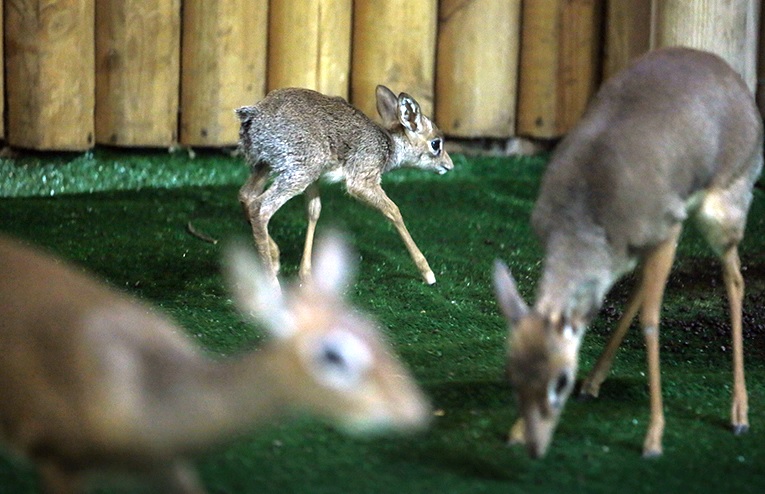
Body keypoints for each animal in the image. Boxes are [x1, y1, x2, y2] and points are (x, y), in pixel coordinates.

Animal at [237, 85, 454, 286]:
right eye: (436, 143)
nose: (449, 166)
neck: (389, 146)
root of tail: (253, 115)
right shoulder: (361, 181)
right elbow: (393, 210)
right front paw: (428, 273)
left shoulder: (316, 179)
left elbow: (314, 211)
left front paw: (306, 275)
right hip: (299, 172)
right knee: (260, 207)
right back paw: (273, 284)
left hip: (266, 166)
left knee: (246, 195)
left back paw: (274, 257)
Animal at [492, 47, 760, 460]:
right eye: (511, 374)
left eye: (561, 380)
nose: (537, 448)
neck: (585, 210)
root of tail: (737, 83)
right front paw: (517, 429)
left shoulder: (667, 231)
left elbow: (651, 320)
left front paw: (654, 436)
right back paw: (594, 383)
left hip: (722, 216)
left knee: (735, 280)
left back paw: (740, 414)